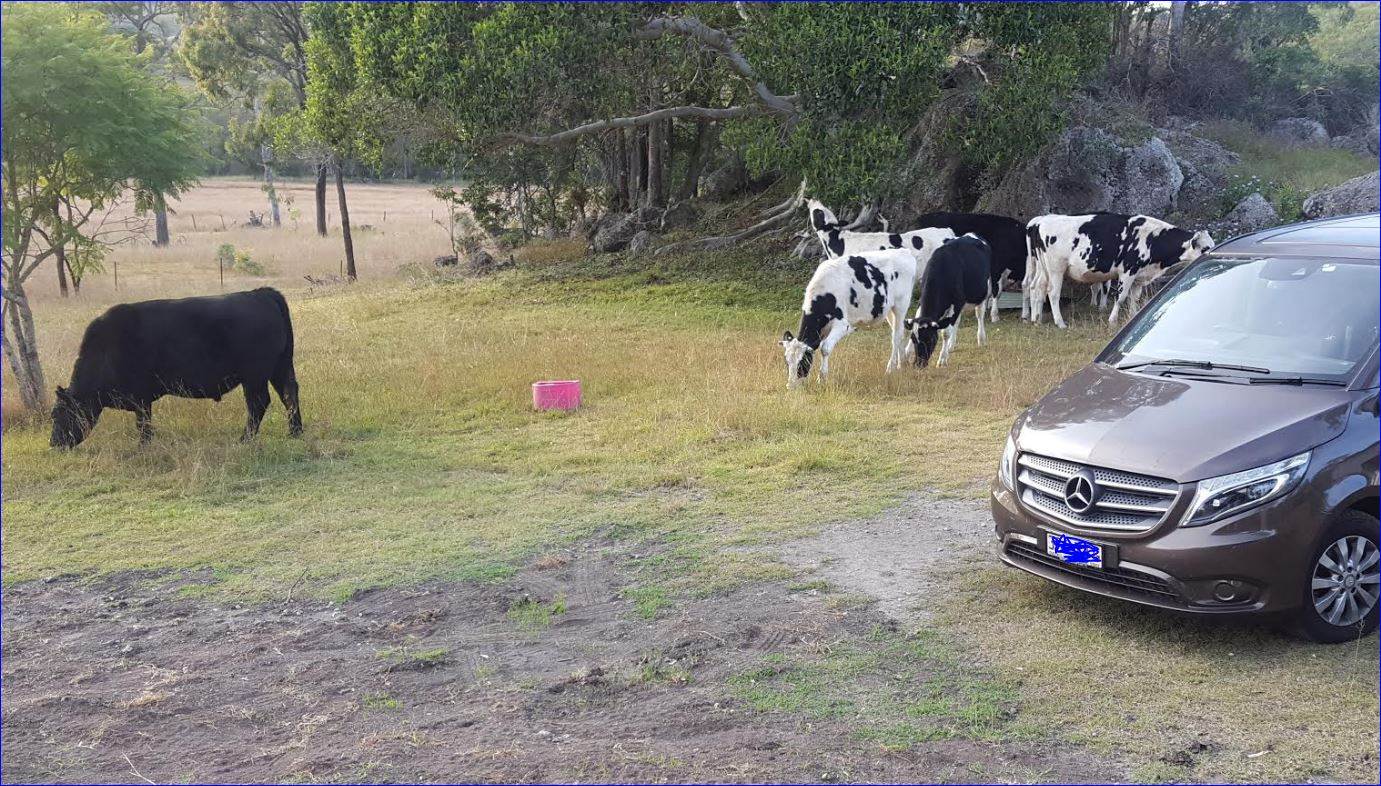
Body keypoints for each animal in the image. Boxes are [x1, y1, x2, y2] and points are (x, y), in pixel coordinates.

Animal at [50, 288, 302, 448]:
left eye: (58, 414)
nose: (54, 443)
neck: (105, 351)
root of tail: (260, 293)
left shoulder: (141, 398)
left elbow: (143, 424)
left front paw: (143, 447)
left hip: (254, 377)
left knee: (258, 404)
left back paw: (245, 439)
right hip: (280, 368)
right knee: (289, 394)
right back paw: (295, 432)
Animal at [780, 249, 917, 388]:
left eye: (802, 362)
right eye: (786, 362)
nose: (790, 386)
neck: (825, 293)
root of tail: (904, 251)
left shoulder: (843, 325)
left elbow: (825, 348)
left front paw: (821, 378)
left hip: (901, 304)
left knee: (897, 336)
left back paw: (890, 369)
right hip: (888, 310)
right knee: (898, 333)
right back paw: (902, 364)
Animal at [903, 234, 992, 368]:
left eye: (930, 339)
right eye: (913, 339)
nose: (919, 364)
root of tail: (971, 234)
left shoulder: (957, 302)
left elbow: (945, 333)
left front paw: (942, 360)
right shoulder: (922, 301)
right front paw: (906, 354)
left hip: (982, 294)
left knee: (979, 315)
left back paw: (981, 339)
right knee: (957, 321)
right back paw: (951, 345)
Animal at [1024, 213, 1214, 328]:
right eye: (1205, 248)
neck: (1152, 238)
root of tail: (1042, 221)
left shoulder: (1139, 276)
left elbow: (1134, 298)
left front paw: (1134, 316)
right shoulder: (1128, 271)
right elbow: (1121, 297)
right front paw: (1112, 320)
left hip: (1042, 267)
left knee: (1037, 287)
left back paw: (1036, 318)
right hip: (1056, 268)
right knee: (1053, 292)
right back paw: (1060, 323)